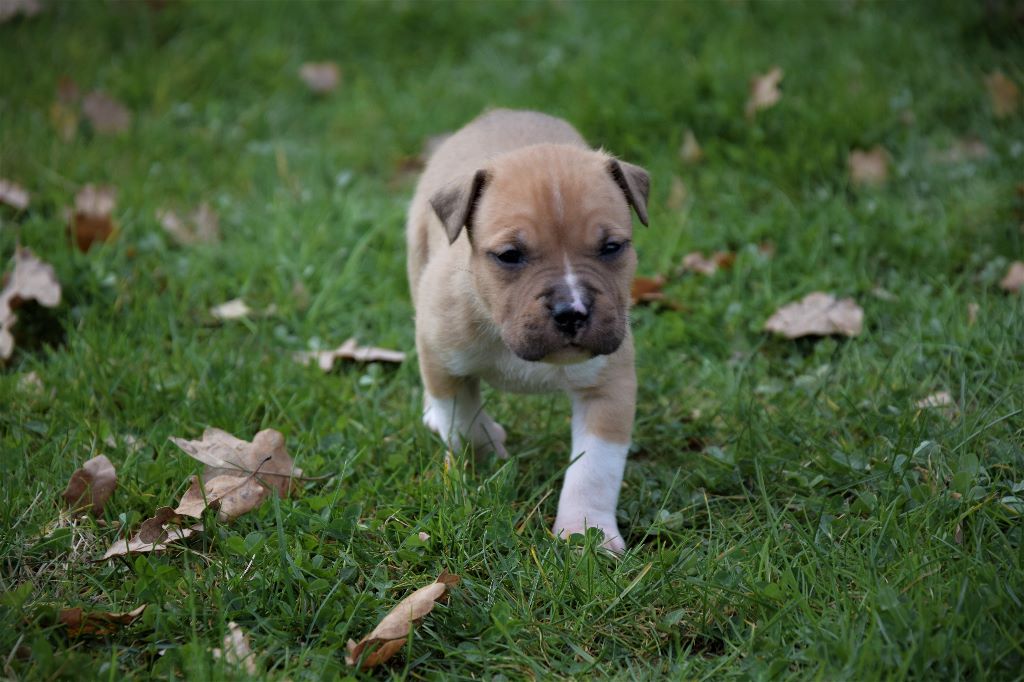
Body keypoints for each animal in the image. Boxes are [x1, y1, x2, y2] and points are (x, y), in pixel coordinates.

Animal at [405, 109, 649, 553]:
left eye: (612, 248)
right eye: (509, 256)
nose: (572, 311)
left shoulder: (609, 388)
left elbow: (595, 470)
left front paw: (587, 533)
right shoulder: (440, 355)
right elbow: (461, 419)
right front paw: (486, 454)